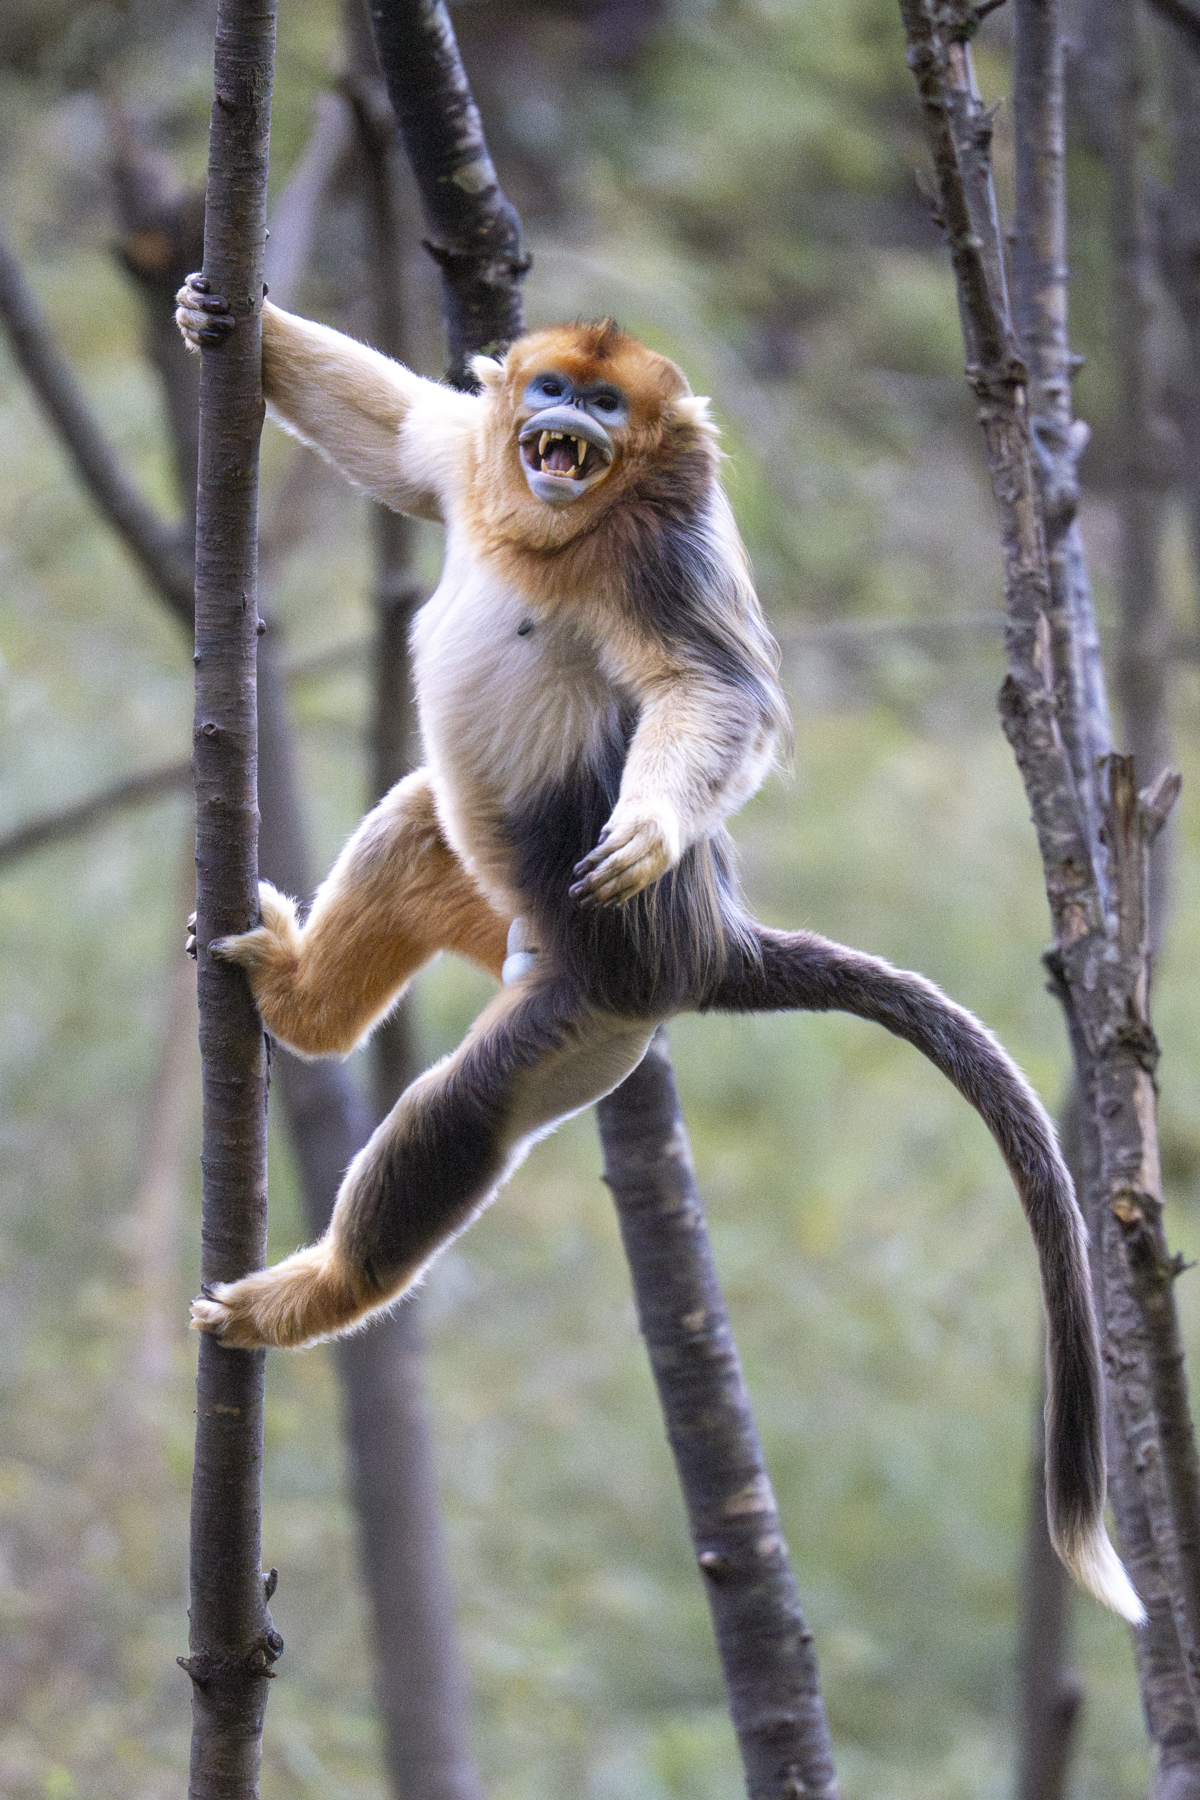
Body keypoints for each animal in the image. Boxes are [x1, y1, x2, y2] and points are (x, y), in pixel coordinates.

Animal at [175, 275, 1143, 1624]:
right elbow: (406, 437)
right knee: (422, 821)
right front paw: (230, 317)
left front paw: (653, 824)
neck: (553, 533)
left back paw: (304, 1295)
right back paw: (301, 1003)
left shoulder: (666, 559)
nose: (567, 422)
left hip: (591, 1013)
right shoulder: (473, 466)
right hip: (511, 912)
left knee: (463, 1113)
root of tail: (714, 944)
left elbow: (707, 690)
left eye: (606, 404)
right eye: (550, 390)